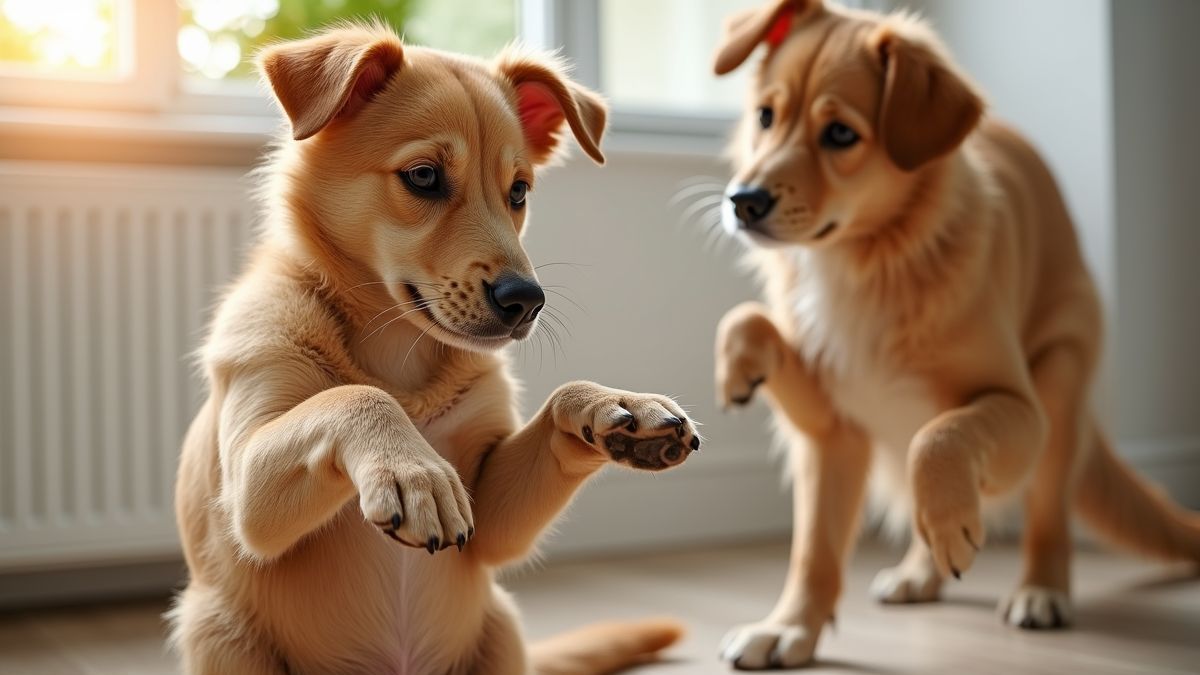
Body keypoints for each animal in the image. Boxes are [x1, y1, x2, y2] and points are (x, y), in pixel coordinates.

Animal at [166, 22, 696, 672]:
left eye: (518, 191)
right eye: (423, 176)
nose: (527, 301)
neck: (401, 360)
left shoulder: (491, 522)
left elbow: (559, 405)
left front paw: (619, 409)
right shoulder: (245, 494)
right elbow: (354, 397)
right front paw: (414, 473)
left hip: (500, 626)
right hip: (218, 633)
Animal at [705, 0, 1200, 662]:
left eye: (841, 135)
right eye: (765, 116)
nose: (743, 201)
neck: (867, 263)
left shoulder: (1022, 412)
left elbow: (939, 442)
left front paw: (956, 528)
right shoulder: (829, 430)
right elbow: (813, 551)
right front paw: (787, 628)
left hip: (1061, 382)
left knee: (1046, 515)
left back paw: (1040, 589)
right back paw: (921, 570)